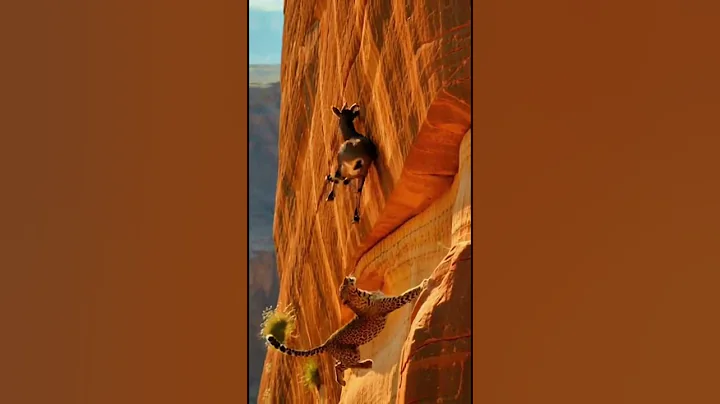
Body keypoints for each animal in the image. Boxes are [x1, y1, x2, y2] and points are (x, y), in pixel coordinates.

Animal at [265, 277, 430, 387]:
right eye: (343, 287)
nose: (346, 278)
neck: (362, 295)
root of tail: (326, 343)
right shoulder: (392, 303)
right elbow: (407, 294)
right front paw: (424, 283)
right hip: (350, 354)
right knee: (340, 365)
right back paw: (353, 373)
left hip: (351, 350)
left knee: (339, 364)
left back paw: (359, 369)